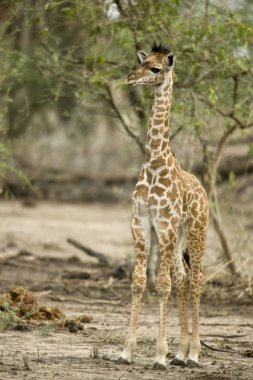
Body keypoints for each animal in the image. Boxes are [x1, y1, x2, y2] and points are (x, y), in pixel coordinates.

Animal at [117, 43, 210, 370]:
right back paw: (181, 353)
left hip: (195, 230)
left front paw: (159, 355)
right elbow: (138, 281)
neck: (154, 162)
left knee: (196, 279)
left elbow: (162, 284)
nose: (131, 78)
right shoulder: (141, 221)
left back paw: (194, 354)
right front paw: (126, 351)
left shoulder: (165, 224)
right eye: (141, 63)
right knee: (183, 278)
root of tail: (204, 192)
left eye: (156, 69)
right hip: (178, 235)